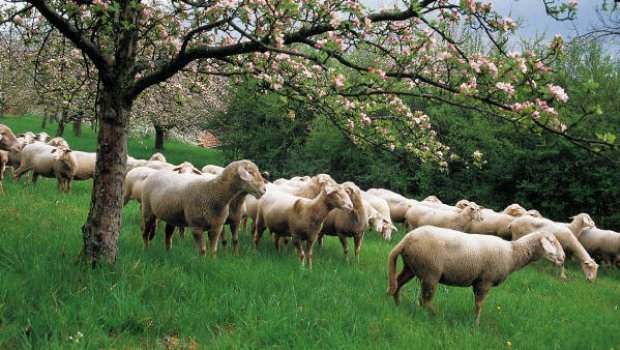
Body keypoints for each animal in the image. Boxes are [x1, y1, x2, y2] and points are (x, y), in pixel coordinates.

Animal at [388, 226, 568, 326]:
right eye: (552, 241)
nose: (563, 257)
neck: (511, 253)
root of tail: (405, 240)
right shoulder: (485, 281)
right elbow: (479, 304)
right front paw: (476, 325)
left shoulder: (477, 282)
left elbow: (476, 304)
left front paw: (474, 321)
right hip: (430, 272)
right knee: (425, 300)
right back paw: (436, 316)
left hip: (411, 266)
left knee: (398, 283)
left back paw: (397, 305)